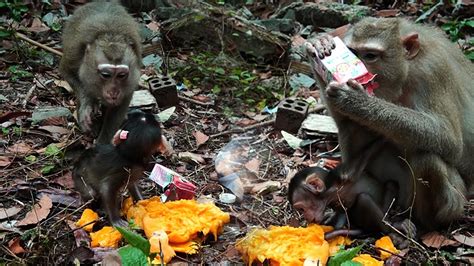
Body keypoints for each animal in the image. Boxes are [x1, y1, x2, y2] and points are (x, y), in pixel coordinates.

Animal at [59, 0, 142, 143]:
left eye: (121, 75)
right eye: (106, 75)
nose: (113, 92)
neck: (110, 36)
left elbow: (119, 106)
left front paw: (103, 142)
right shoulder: (74, 53)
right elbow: (67, 72)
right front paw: (86, 105)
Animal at [306, 16, 472, 230]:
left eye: (370, 56)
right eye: (353, 52)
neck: (408, 70)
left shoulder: (433, 70)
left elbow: (450, 141)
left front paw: (358, 102)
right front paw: (321, 47)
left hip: (454, 202)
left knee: (427, 159)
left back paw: (424, 224)